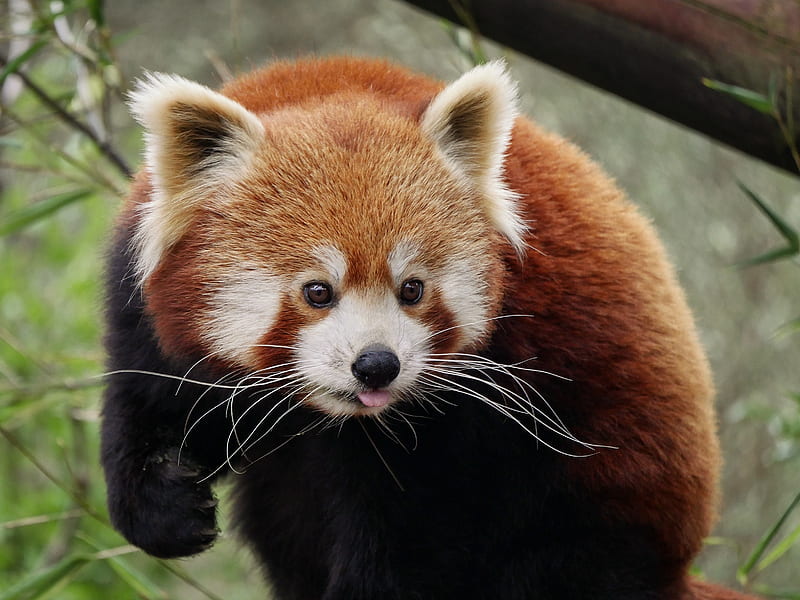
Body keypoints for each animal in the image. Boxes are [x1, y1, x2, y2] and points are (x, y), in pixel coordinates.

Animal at [101, 57, 756, 600]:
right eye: (318, 291)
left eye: (411, 288)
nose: (376, 364)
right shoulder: (143, 314)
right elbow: (145, 404)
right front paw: (165, 506)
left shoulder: (477, 406)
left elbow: (416, 540)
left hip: (605, 503)